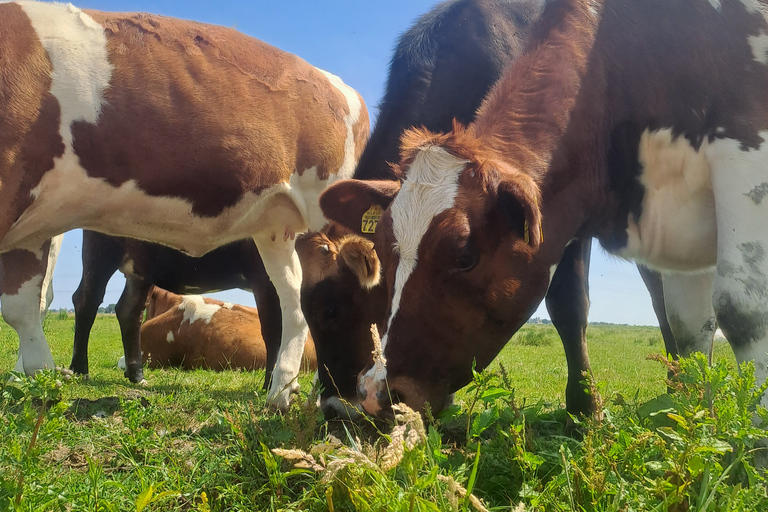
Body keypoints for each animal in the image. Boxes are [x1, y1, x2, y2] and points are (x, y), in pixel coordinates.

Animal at [71, 230, 282, 390]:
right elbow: (274, 333)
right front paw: (272, 387)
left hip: (142, 266)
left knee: (129, 310)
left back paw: (137, 375)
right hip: (102, 246)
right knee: (87, 299)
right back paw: (80, 371)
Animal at [322, 0, 768, 416]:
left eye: (465, 257)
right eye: (384, 253)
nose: (372, 393)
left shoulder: (743, 148)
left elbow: (740, 309)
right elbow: (689, 322)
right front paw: (694, 419)